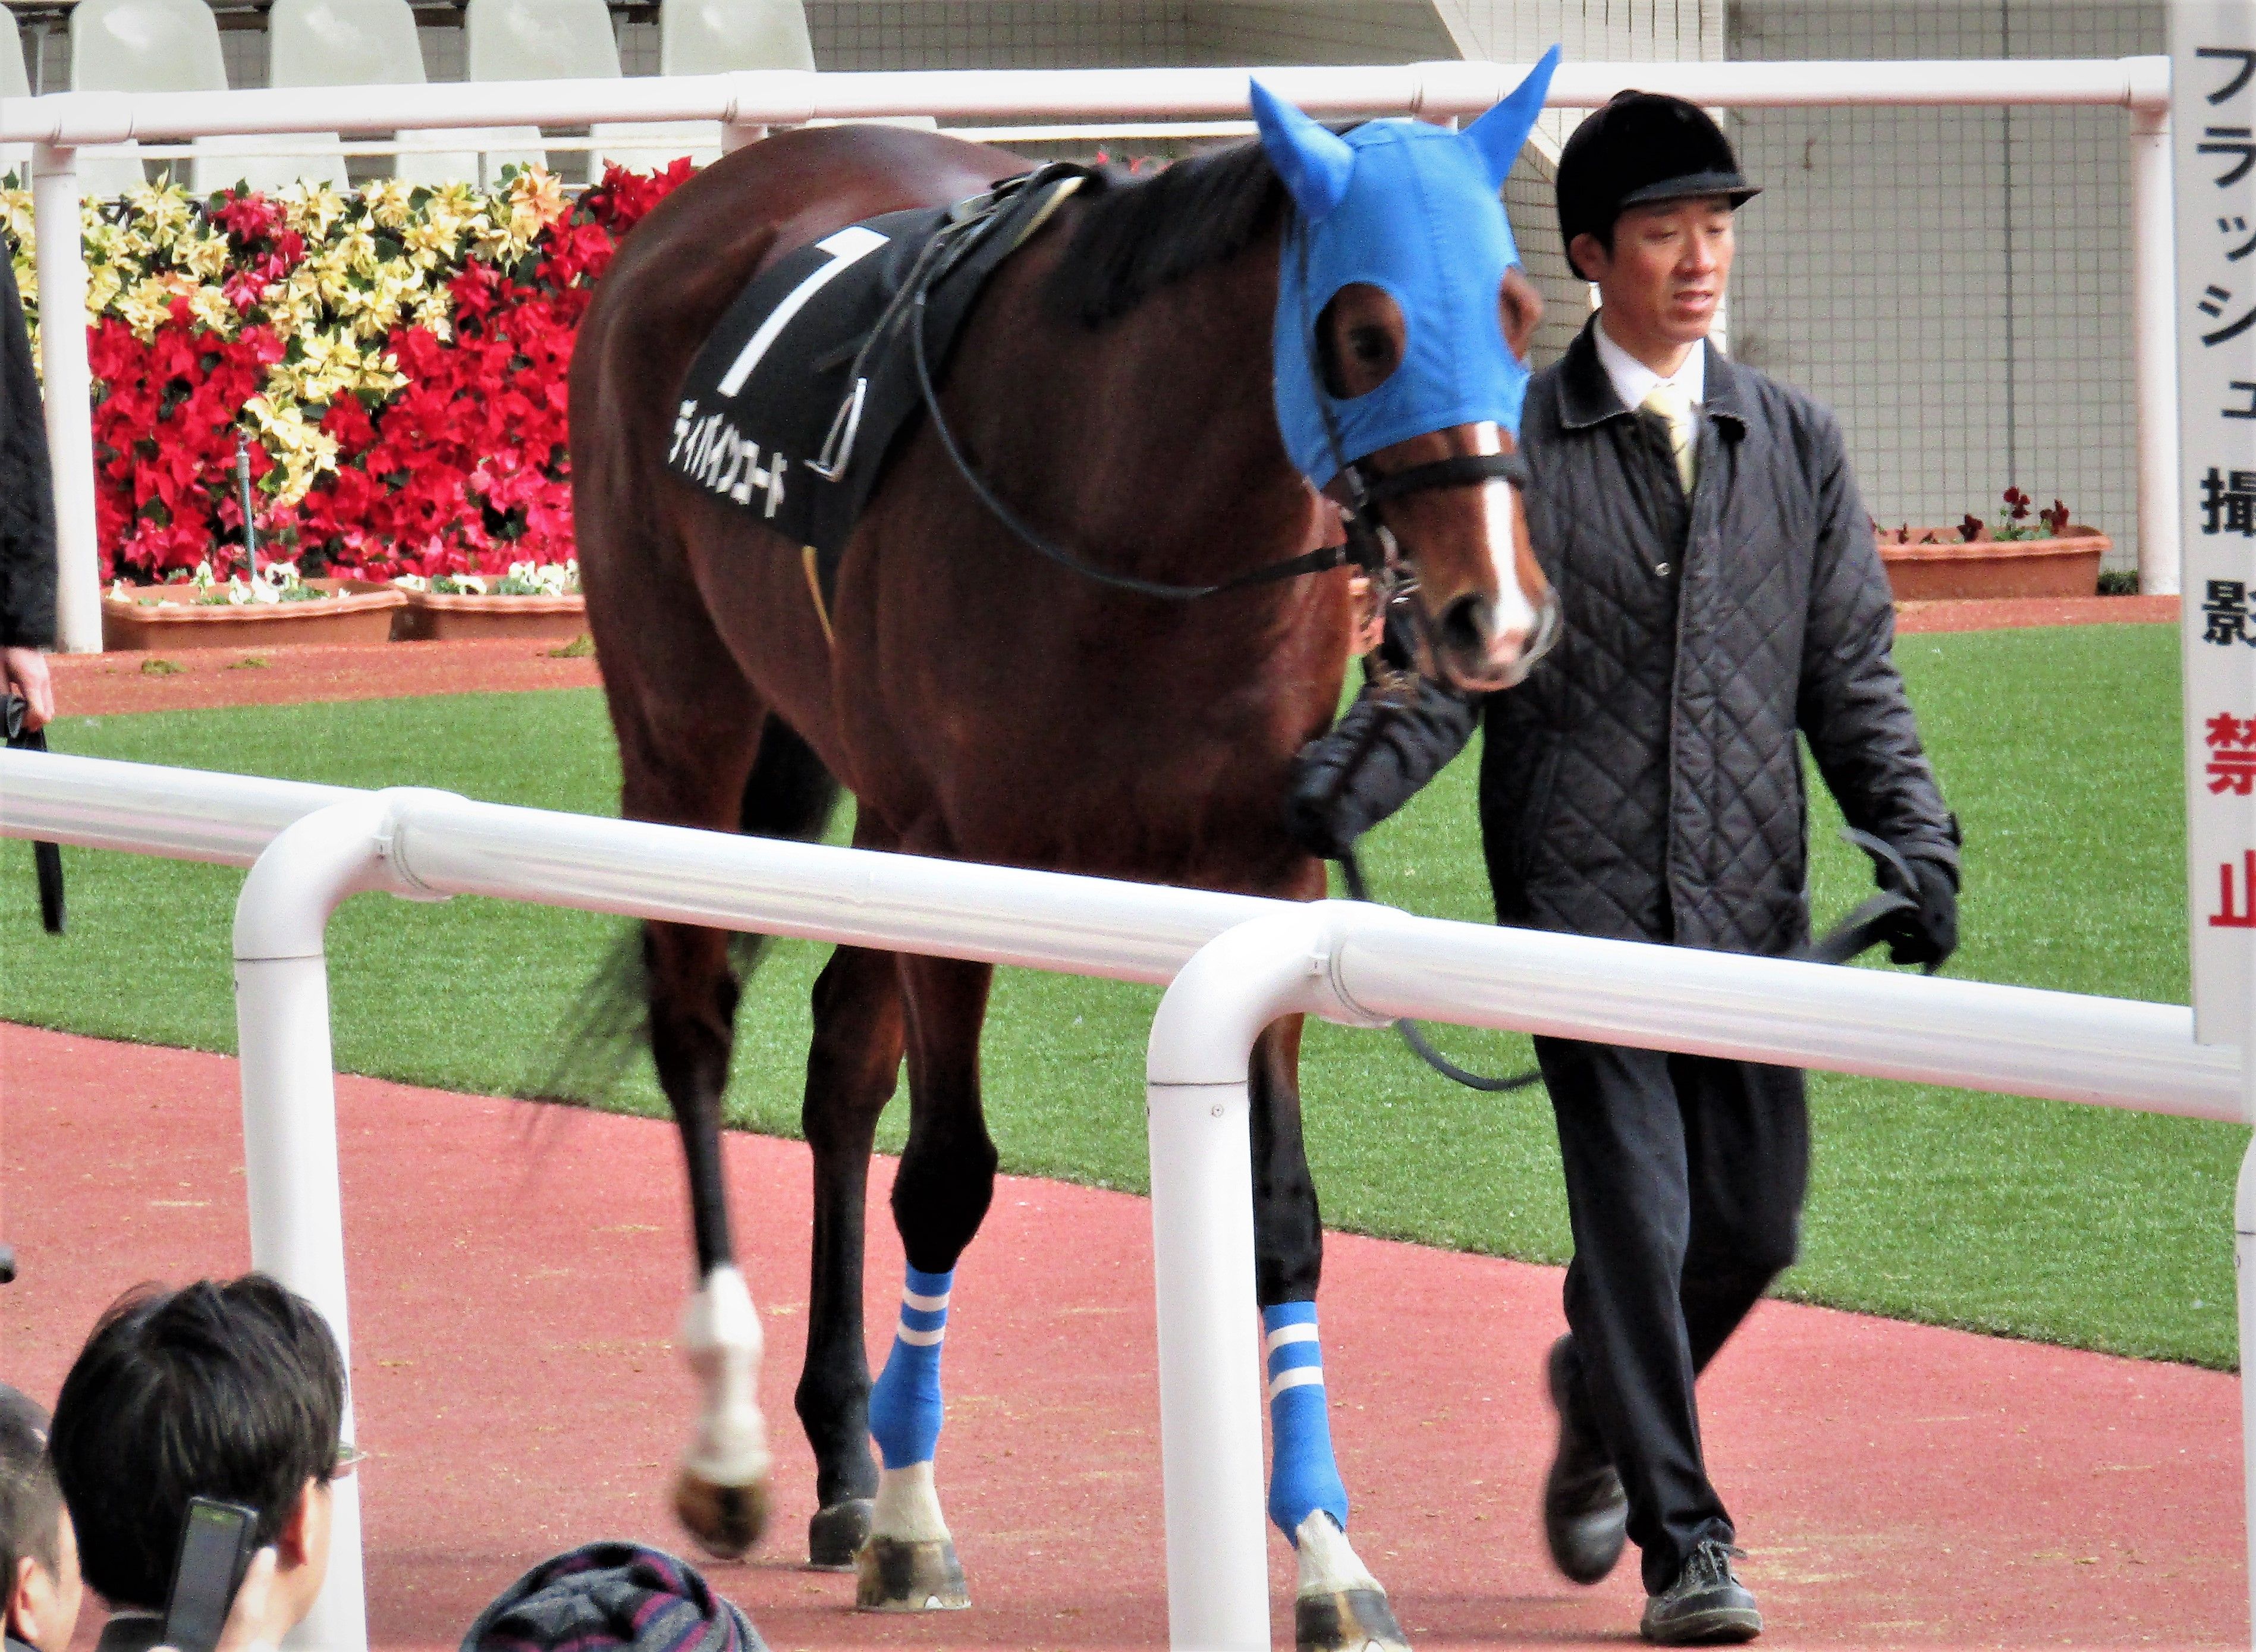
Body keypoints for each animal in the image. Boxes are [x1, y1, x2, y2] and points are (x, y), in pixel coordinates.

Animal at [566, 52, 1561, 1649]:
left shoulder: (1260, 873)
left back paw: (844, 1452)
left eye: (1521, 311)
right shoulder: (955, 855)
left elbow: (1280, 1215)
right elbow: (946, 1179)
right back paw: (738, 1451)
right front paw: (917, 1531)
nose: (1497, 615)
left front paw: (1329, 1552)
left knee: (840, 1053)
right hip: (685, 725)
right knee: (695, 1023)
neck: (1135, 523)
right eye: (1363, 332)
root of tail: (708, 199)